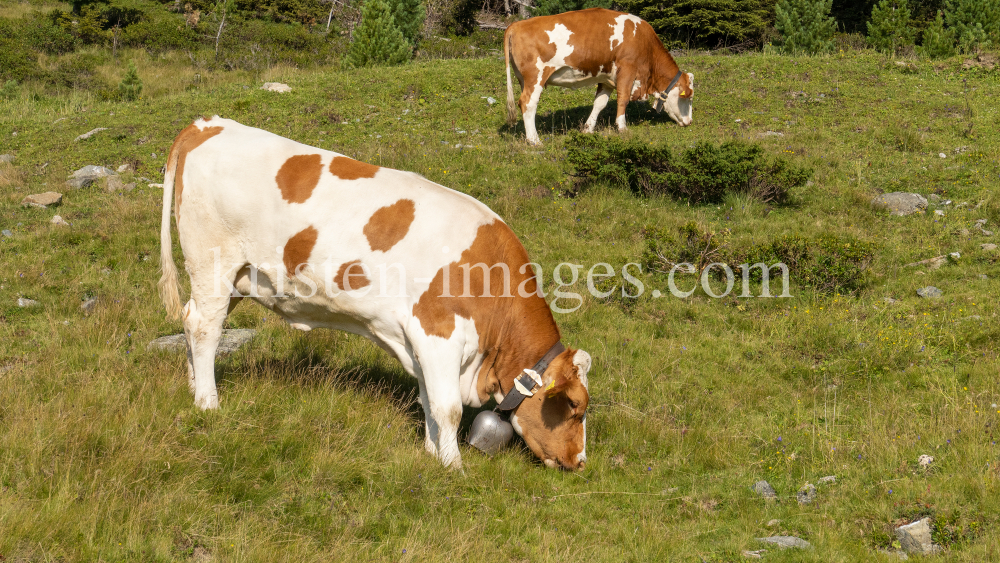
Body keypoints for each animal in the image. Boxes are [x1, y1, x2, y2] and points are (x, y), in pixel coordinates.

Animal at [159, 118, 588, 472]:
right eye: (576, 407)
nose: (580, 462)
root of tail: (207, 124)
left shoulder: (420, 342)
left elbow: (428, 399)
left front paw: (432, 454)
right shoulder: (439, 333)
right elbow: (446, 407)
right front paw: (454, 468)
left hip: (237, 277)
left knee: (192, 321)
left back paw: (194, 387)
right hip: (212, 263)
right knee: (205, 328)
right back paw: (208, 402)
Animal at [504, 8, 692, 145]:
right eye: (688, 98)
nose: (689, 121)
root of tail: (516, 24)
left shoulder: (607, 78)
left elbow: (599, 103)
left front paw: (588, 129)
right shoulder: (627, 69)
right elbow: (623, 99)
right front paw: (622, 128)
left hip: (523, 79)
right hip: (535, 77)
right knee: (528, 103)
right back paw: (534, 141)